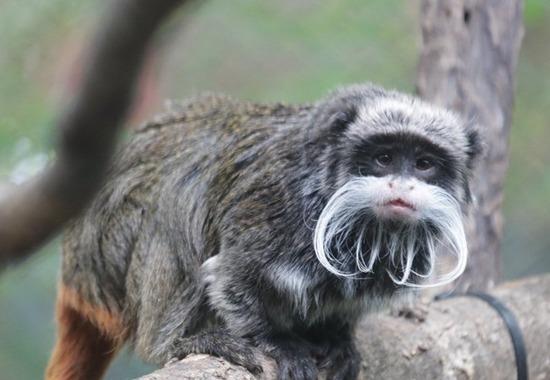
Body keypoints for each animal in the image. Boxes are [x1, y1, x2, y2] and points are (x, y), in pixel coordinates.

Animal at [47, 84, 484, 380]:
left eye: (424, 164)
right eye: (384, 158)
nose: (402, 185)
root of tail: (74, 272)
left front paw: (338, 337)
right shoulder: (275, 210)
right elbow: (230, 277)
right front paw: (278, 342)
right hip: (107, 252)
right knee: (176, 201)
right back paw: (174, 342)